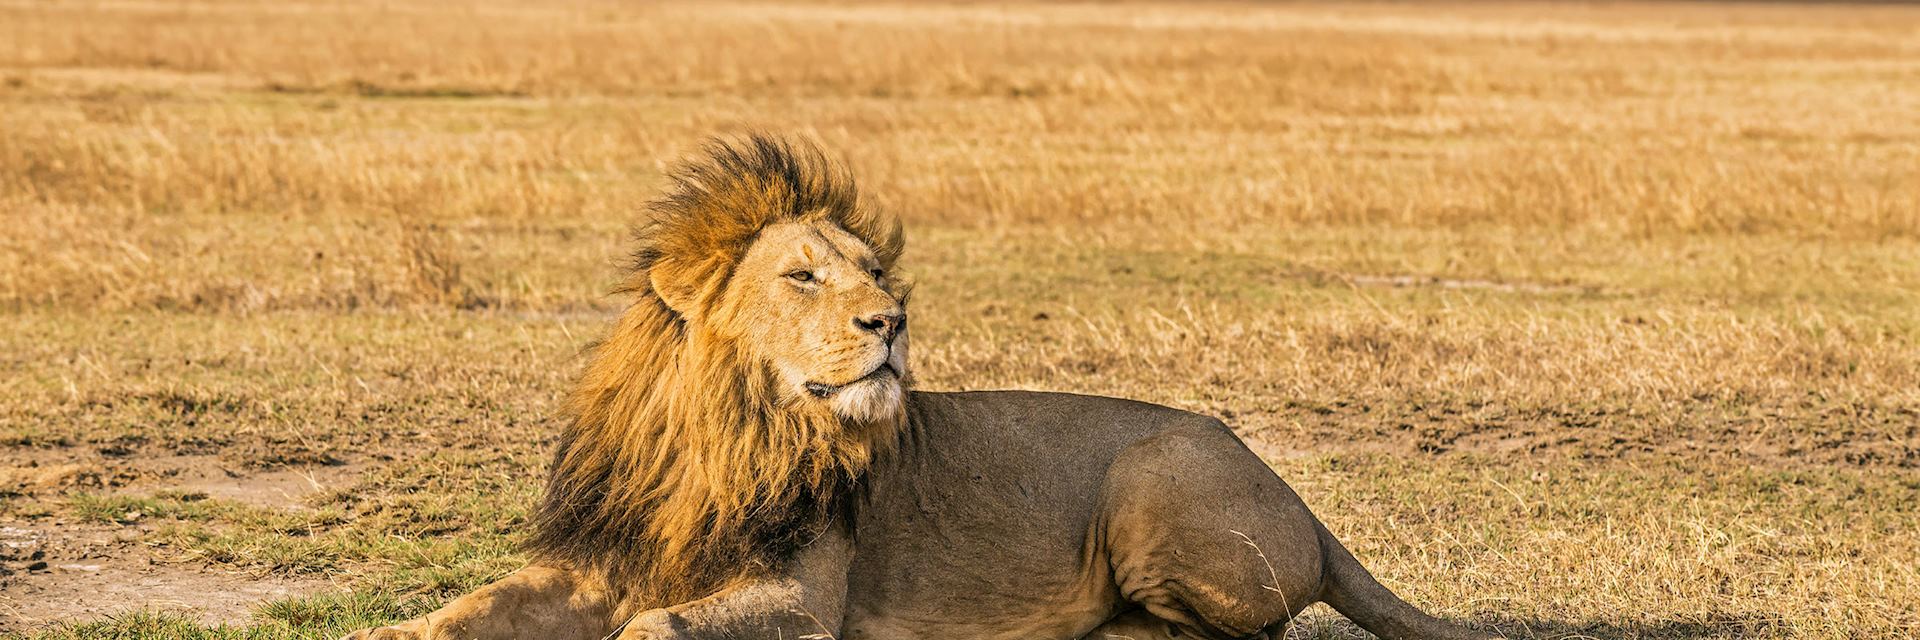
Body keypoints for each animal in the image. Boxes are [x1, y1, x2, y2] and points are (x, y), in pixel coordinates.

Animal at [349, 135, 1512, 638]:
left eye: (876, 274)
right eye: (802, 275)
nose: (892, 323)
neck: (730, 435)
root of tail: (1298, 495)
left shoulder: (805, 599)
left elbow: (656, 630)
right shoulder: (600, 562)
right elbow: (456, 614)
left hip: (1155, 473)